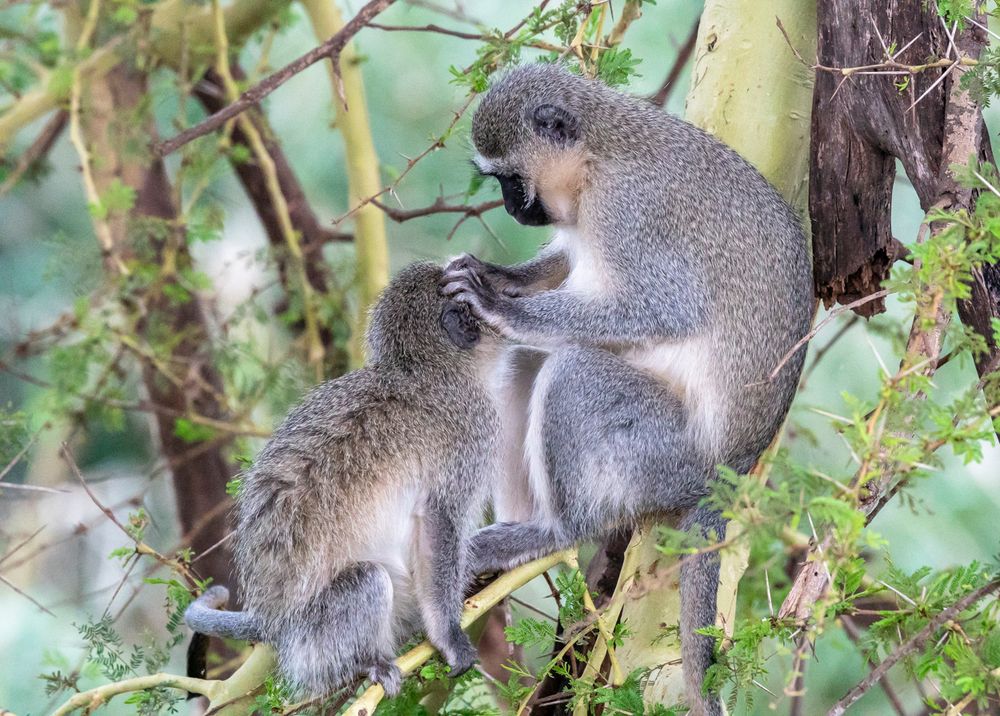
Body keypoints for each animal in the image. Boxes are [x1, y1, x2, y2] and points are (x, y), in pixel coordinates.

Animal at [185, 262, 504, 692]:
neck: (428, 370)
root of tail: (272, 622)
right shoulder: (470, 436)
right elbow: (440, 523)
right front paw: (448, 636)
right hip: (313, 636)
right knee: (367, 582)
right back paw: (366, 663)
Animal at [442, 63, 816, 716]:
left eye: (512, 180)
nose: (511, 208)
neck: (598, 154)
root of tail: (732, 471)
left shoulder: (627, 212)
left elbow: (664, 308)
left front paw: (498, 305)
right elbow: (561, 265)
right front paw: (496, 277)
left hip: (662, 455)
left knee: (574, 372)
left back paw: (553, 533)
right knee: (528, 360)